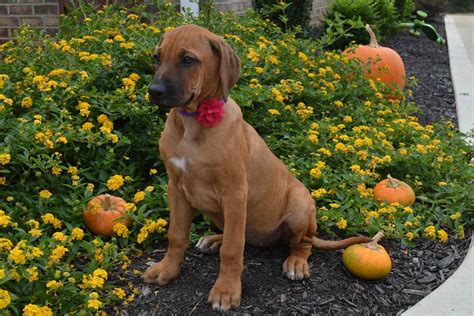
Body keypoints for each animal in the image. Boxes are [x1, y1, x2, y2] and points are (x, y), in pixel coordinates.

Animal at [143, 24, 370, 312]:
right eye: (156, 57)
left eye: (187, 60)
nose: (154, 91)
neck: (194, 122)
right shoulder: (176, 188)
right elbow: (176, 235)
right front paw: (167, 269)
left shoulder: (235, 194)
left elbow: (232, 250)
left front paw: (226, 291)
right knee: (239, 235)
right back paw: (212, 240)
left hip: (299, 205)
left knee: (300, 242)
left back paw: (296, 262)